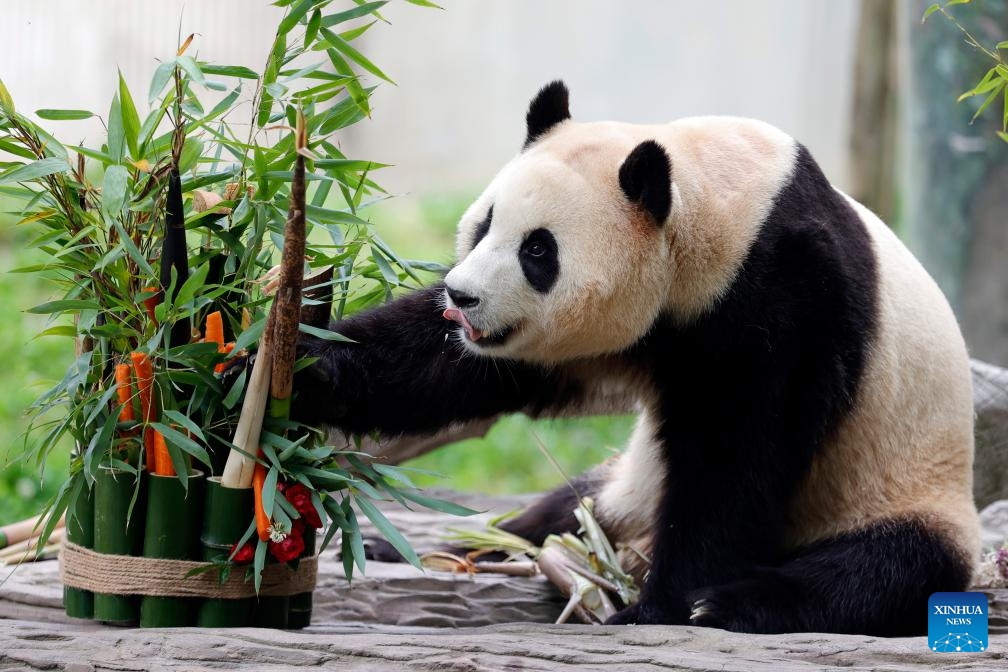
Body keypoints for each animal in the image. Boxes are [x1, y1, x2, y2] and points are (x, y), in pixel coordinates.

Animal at [294, 81, 980, 635]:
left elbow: (741, 454)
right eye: (485, 224)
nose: (461, 298)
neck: (716, 200)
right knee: (569, 508)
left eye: (537, 250)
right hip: (623, 487)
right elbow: (448, 366)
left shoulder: (789, 292)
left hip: (900, 491)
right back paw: (468, 544)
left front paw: (661, 606)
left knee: (882, 569)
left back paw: (731, 602)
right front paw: (305, 367)